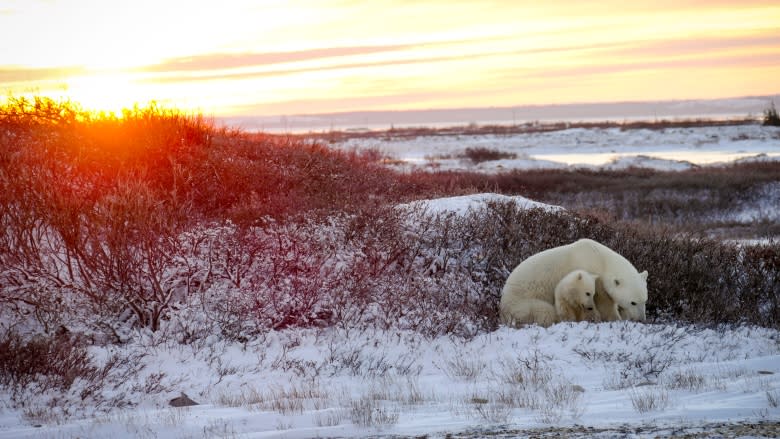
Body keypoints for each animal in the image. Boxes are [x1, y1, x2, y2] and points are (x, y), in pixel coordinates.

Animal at [502, 239, 648, 324]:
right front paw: (615, 318)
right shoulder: (592, 275)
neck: (601, 259)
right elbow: (604, 302)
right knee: (544, 310)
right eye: (633, 302)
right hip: (521, 304)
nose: (641, 320)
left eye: (644, 300)